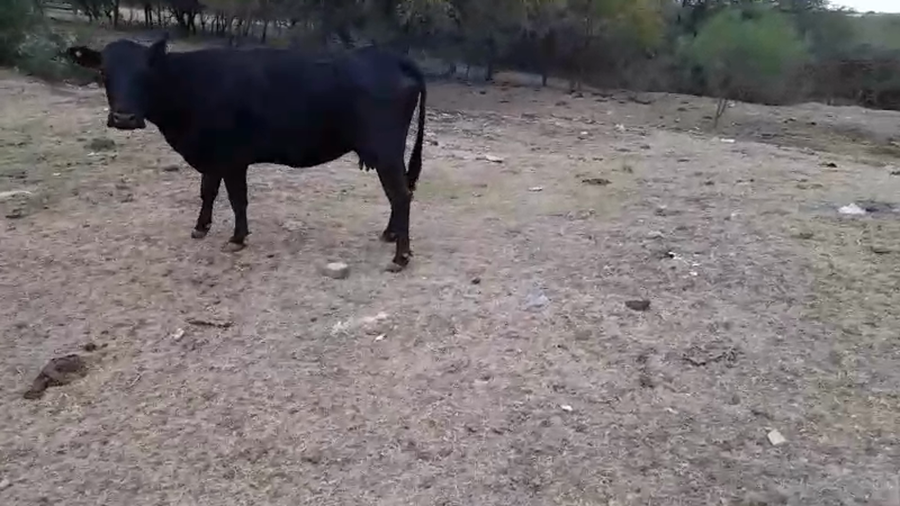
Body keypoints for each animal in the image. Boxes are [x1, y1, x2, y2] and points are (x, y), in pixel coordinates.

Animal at [65, 34, 426, 272]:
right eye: (104, 72)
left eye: (145, 73)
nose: (124, 118)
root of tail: (390, 56)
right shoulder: (212, 155)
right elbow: (207, 191)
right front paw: (201, 227)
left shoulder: (232, 157)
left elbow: (237, 198)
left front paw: (237, 238)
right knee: (401, 192)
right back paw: (391, 235)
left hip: (385, 148)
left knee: (400, 195)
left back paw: (401, 256)